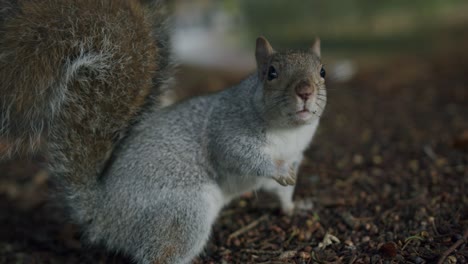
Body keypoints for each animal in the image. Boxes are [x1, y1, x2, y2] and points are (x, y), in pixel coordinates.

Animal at [0, 0, 328, 264]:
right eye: (272, 73)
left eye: (322, 71)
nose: (305, 91)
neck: (287, 133)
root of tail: (103, 216)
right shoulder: (229, 128)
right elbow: (241, 155)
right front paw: (278, 170)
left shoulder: (296, 154)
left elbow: (281, 192)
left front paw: (294, 205)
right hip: (183, 211)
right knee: (159, 256)